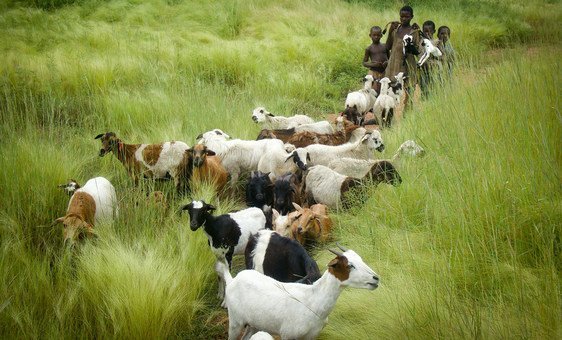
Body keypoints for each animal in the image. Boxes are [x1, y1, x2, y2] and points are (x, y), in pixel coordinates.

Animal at [217, 244, 378, 340]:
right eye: (350, 265)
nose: (376, 278)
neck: (313, 300)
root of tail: (232, 280)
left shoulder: (311, 336)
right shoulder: (288, 335)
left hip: (254, 323)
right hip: (235, 321)